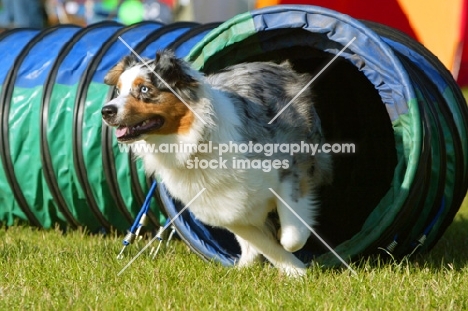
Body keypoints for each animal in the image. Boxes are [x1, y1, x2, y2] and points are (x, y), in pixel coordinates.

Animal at [101, 51, 332, 278]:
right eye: (118, 90)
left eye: (144, 89)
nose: (106, 111)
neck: (195, 143)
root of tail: (279, 65)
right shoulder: (222, 207)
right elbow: (263, 242)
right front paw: (294, 270)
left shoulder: (291, 173)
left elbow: (291, 237)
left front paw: (293, 259)